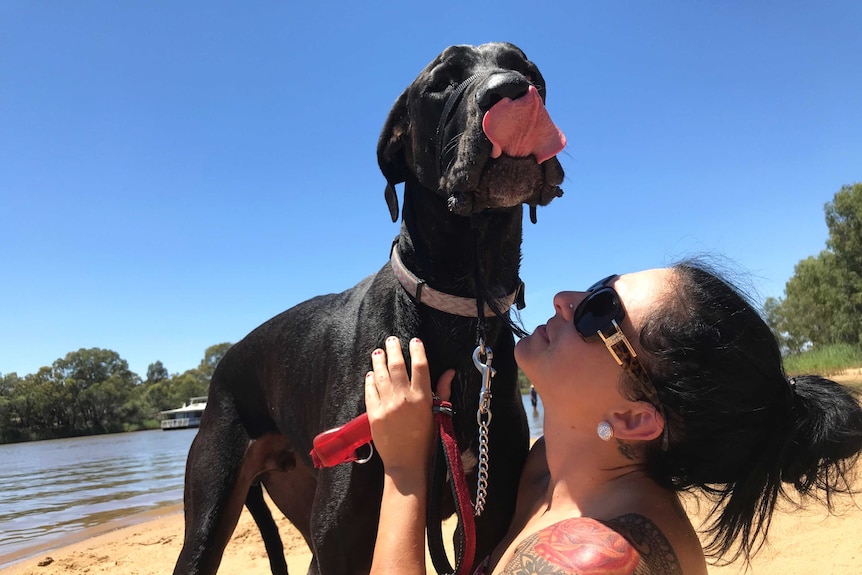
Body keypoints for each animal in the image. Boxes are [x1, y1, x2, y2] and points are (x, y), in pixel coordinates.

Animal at [175, 42, 568, 575]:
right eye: (442, 81)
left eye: (528, 70)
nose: (510, 89)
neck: (461, 306)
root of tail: (223, 363)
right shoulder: (345, 533)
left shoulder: (484, 526)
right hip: (211, 512)